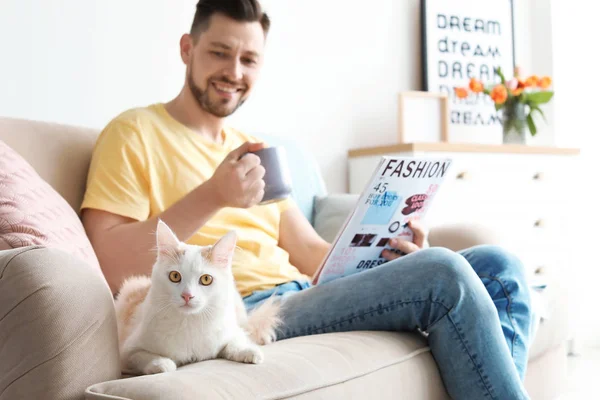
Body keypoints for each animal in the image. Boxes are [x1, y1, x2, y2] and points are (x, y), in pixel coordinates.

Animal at [115, 219, 284, 376]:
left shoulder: (231, 332)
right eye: (175, 276)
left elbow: (234, 343)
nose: (187, 295)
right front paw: (162, 363)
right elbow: (143, 356)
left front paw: (250, 352)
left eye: (206, 279)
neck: (189, 322)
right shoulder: (127, 351)